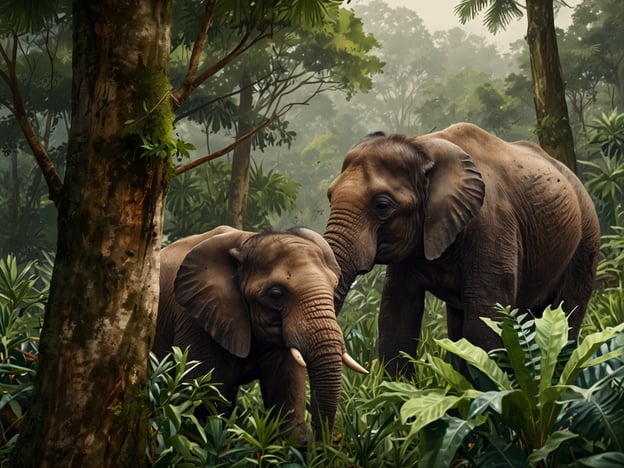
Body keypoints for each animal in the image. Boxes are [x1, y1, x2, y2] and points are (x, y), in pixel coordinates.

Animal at [152, 227, 366, 446]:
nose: (325, 443)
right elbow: (203, 400)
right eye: (276, 295)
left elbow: (285, 398)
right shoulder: (195, 318)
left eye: (334, 286)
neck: (246, 243)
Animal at [324, 121, 604, 376]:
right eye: (329, 196)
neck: (422, 145)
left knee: (566, 311)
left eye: (382, 205)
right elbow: (397, 316)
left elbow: (484, 322)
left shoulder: (492, 226)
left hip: (587, 236)